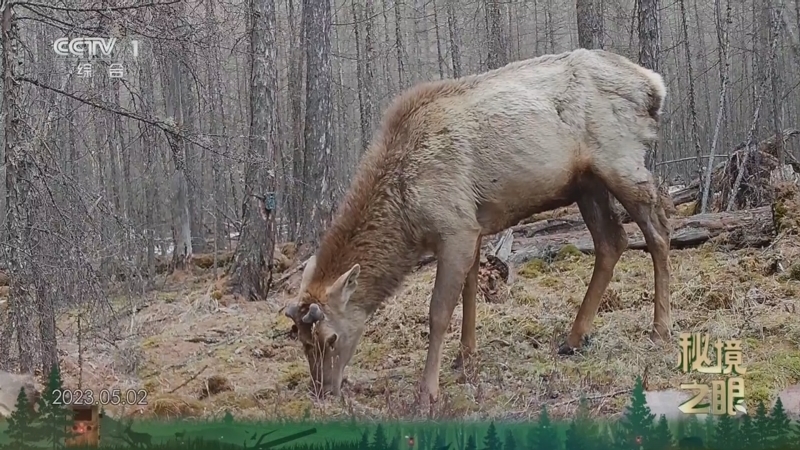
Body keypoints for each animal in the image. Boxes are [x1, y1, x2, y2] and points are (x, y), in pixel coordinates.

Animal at [282, 48, 671, 412]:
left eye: (330, 338)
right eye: (301, 340)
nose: (322, 391)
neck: (406, 215)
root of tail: (654, 86)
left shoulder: (454, 227)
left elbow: (439, 312)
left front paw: (428, 392)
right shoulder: (473, 226)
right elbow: (470, 290)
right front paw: (465, 358)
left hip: (622, 163)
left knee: (658, 233)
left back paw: (660, 330)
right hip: (586, 183)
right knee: (612, 242)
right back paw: (573, 338)